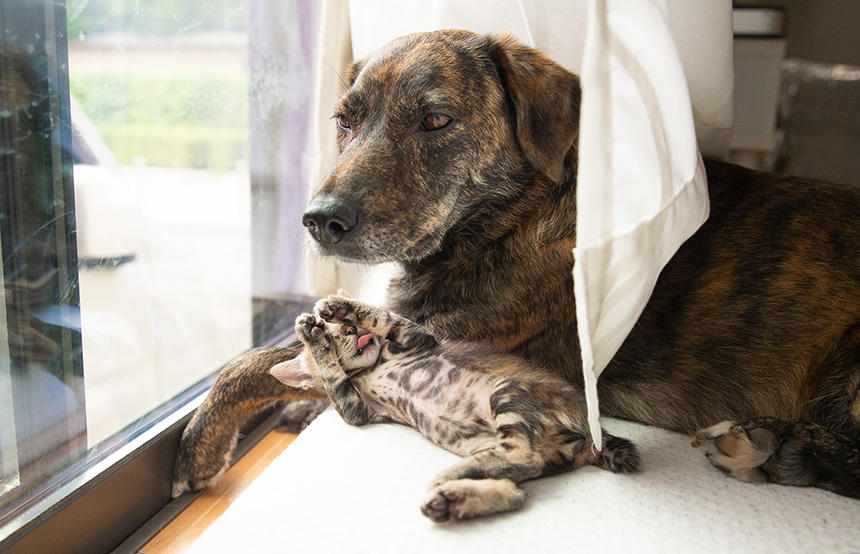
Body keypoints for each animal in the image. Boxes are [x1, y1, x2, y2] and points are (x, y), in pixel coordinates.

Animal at [171, 29, 856, 496]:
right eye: (344, 121)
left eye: (435, 119)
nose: (319, 221)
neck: (511, 217)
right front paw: (293, 405)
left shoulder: (438, 342)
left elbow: (252, 362)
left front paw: (199, 447)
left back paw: (765, 446)